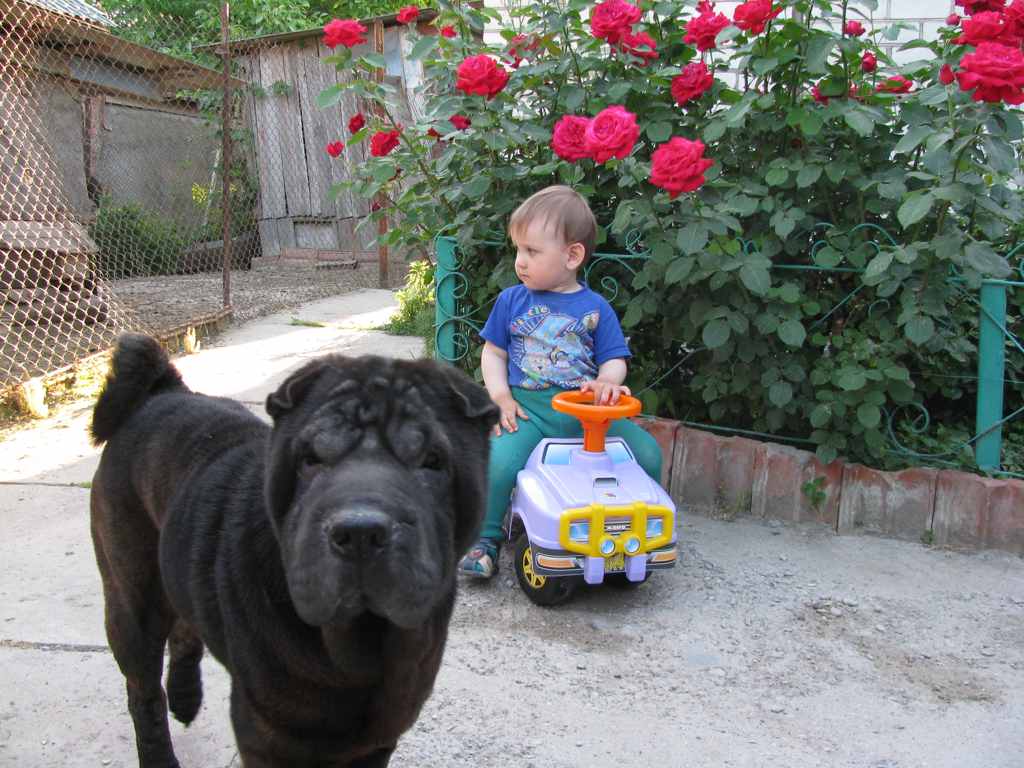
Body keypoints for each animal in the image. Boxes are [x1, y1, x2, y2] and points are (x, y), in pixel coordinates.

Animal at [89, 333, 498, 767]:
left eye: (432, 461)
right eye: (311, 459)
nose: (360, 531)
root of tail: (160, 393)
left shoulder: (382, 731)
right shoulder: (270, 736)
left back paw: (185, 699)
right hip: (133, 600)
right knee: (144, 692)